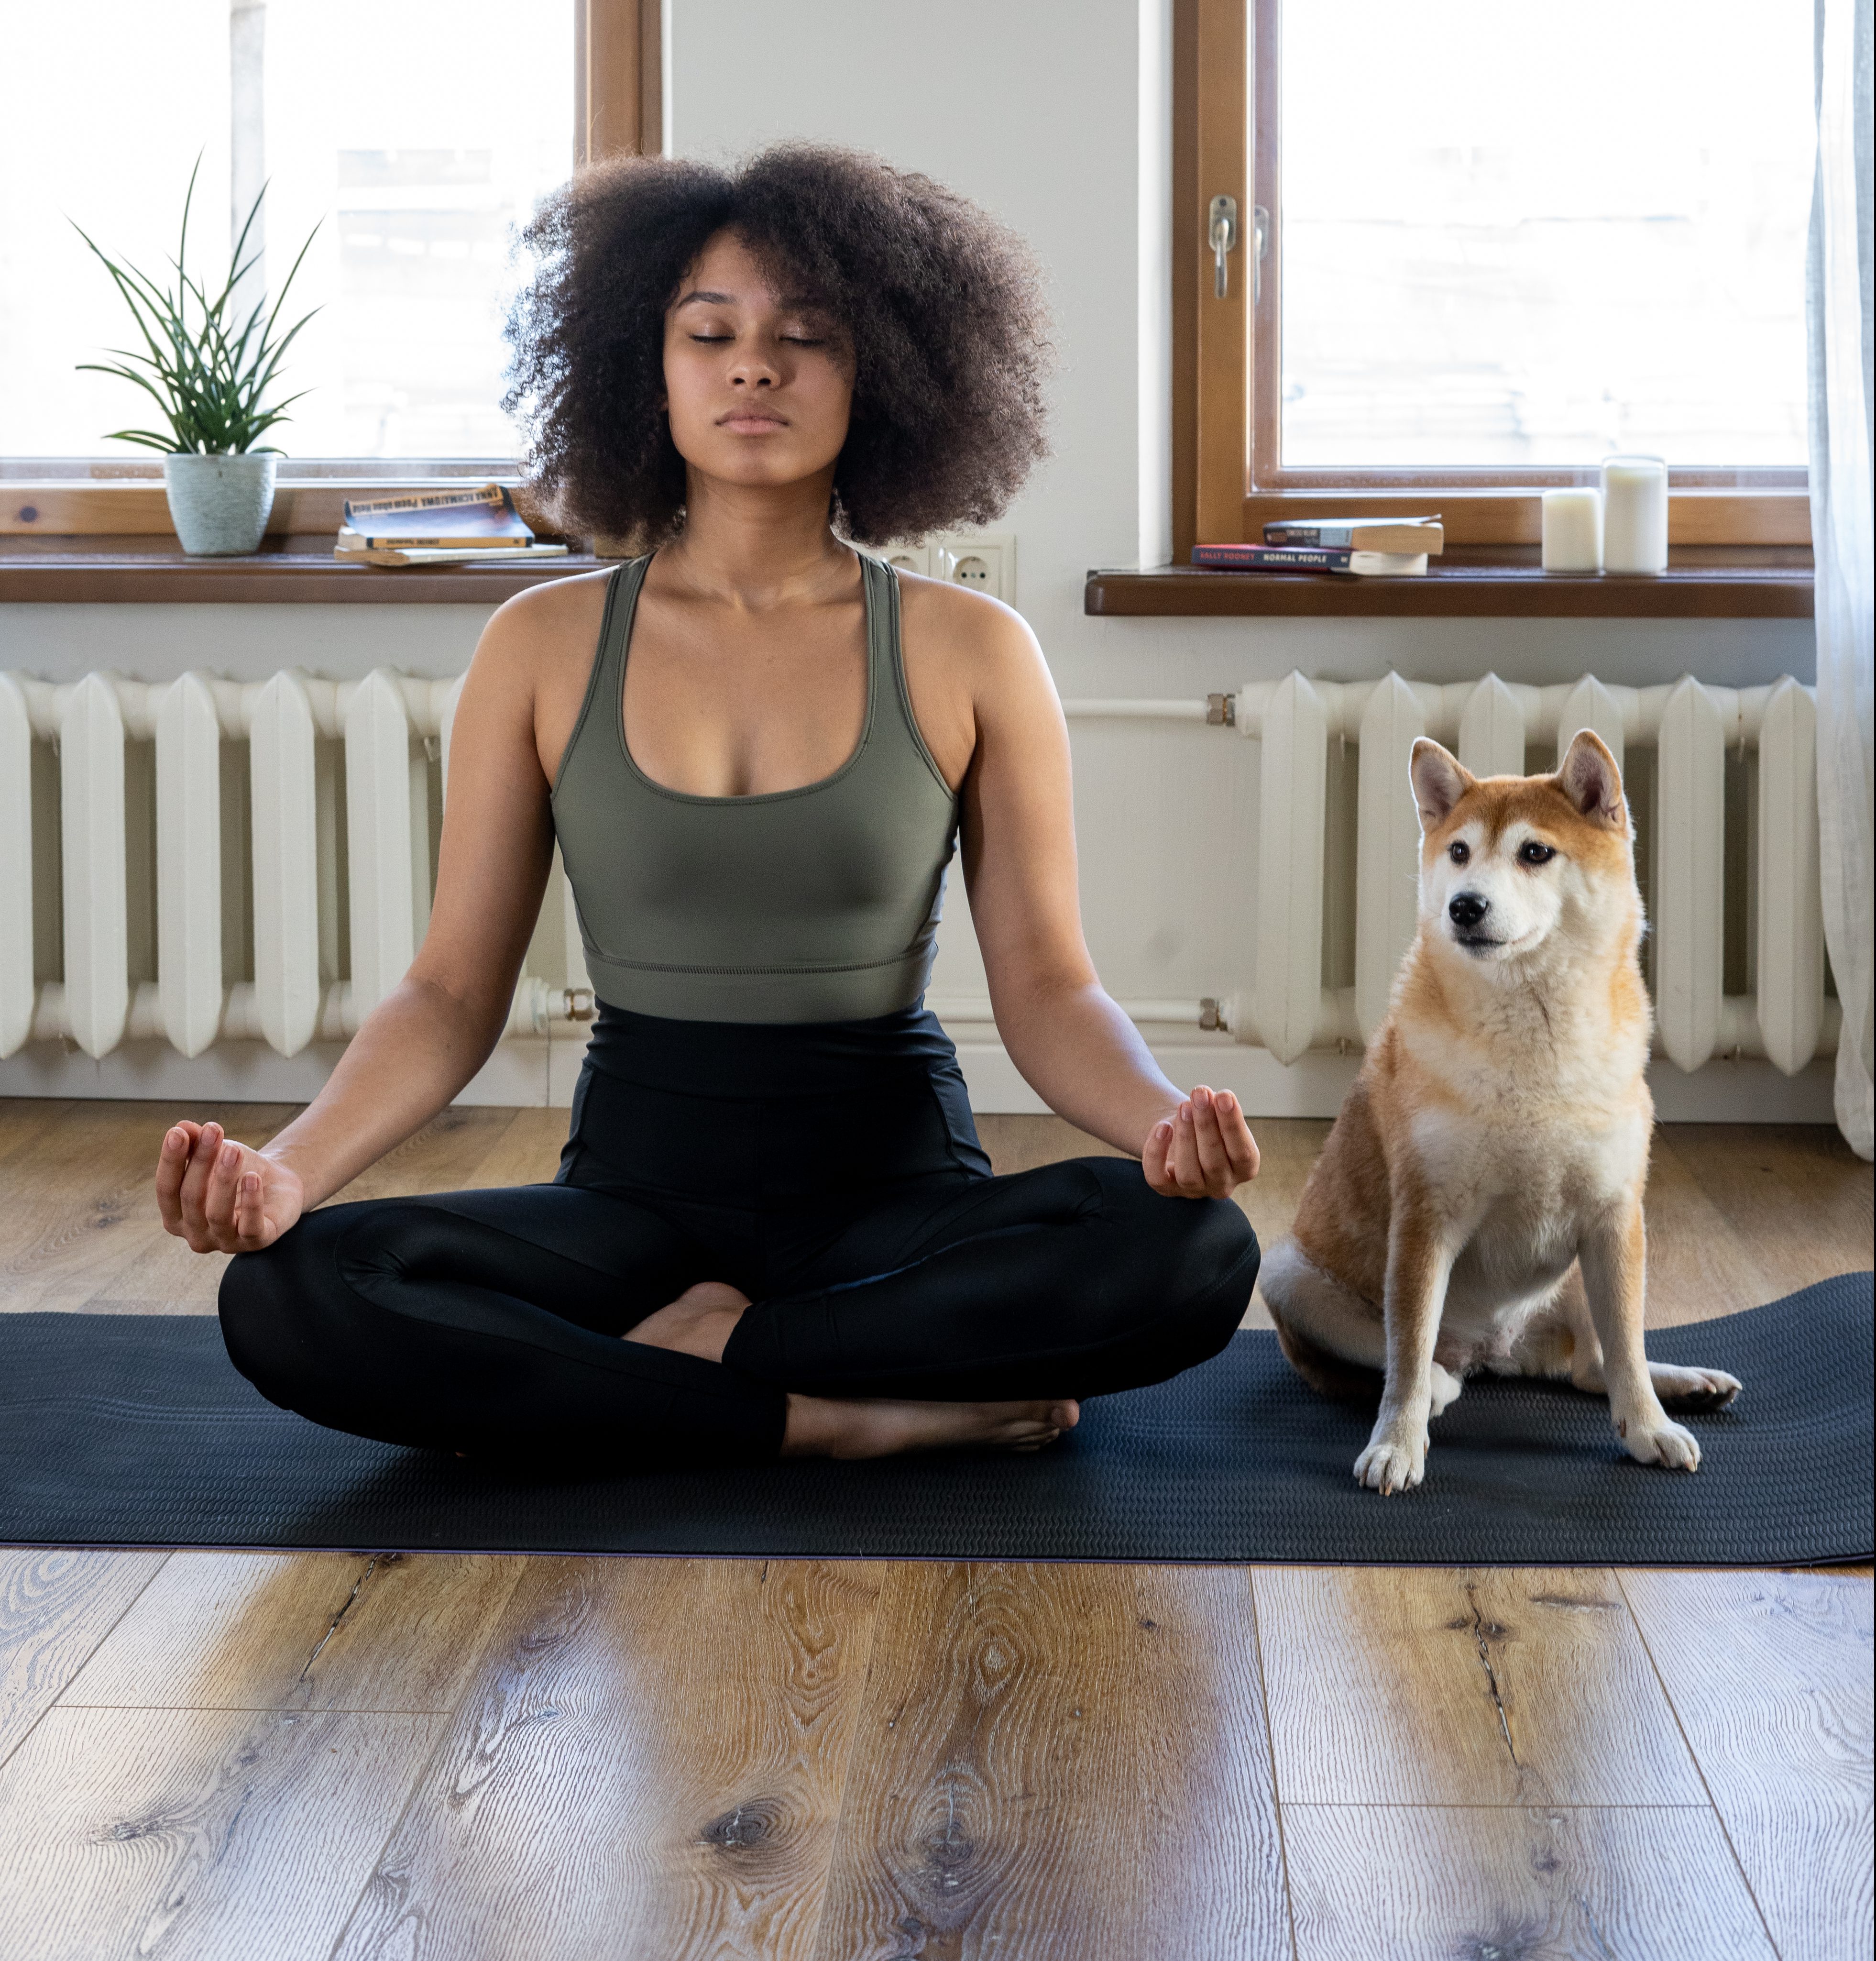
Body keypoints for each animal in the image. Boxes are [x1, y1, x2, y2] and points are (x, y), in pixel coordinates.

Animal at [1262, 729, 1741, 1490]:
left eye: (1534, 852)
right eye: (1459, 851)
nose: (1464, 906)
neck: (1532, 1043)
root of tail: (1495, 1351)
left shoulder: (1614, 1216)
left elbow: (1626, 1350)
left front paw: (1648, 1427)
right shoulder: (1424, 1219)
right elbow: (1404, 1355)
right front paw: (1396, 1444)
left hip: (1580, 1276)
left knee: (1592, 1365)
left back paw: (1684, 1384)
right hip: (1287, 1270)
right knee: (1418, 1365)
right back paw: (1438, 1385)